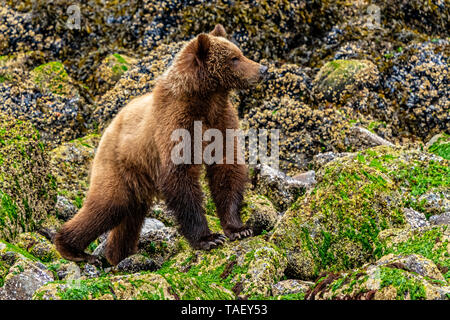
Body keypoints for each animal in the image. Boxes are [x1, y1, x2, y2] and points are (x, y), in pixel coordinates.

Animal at [55, 24, 268, 264]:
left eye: (239, 53)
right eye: (234, 58)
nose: (263, 69)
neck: (206, 98)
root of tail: (108, 129)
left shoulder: (221, 121)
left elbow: (227, 168)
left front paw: (239, 228)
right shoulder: (175, 124)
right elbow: (180, 177)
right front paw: (208, 238)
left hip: (137, 179)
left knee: (130, 216)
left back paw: (120, 254)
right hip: (119, 165)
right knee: (107, 205)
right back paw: (74, 249)